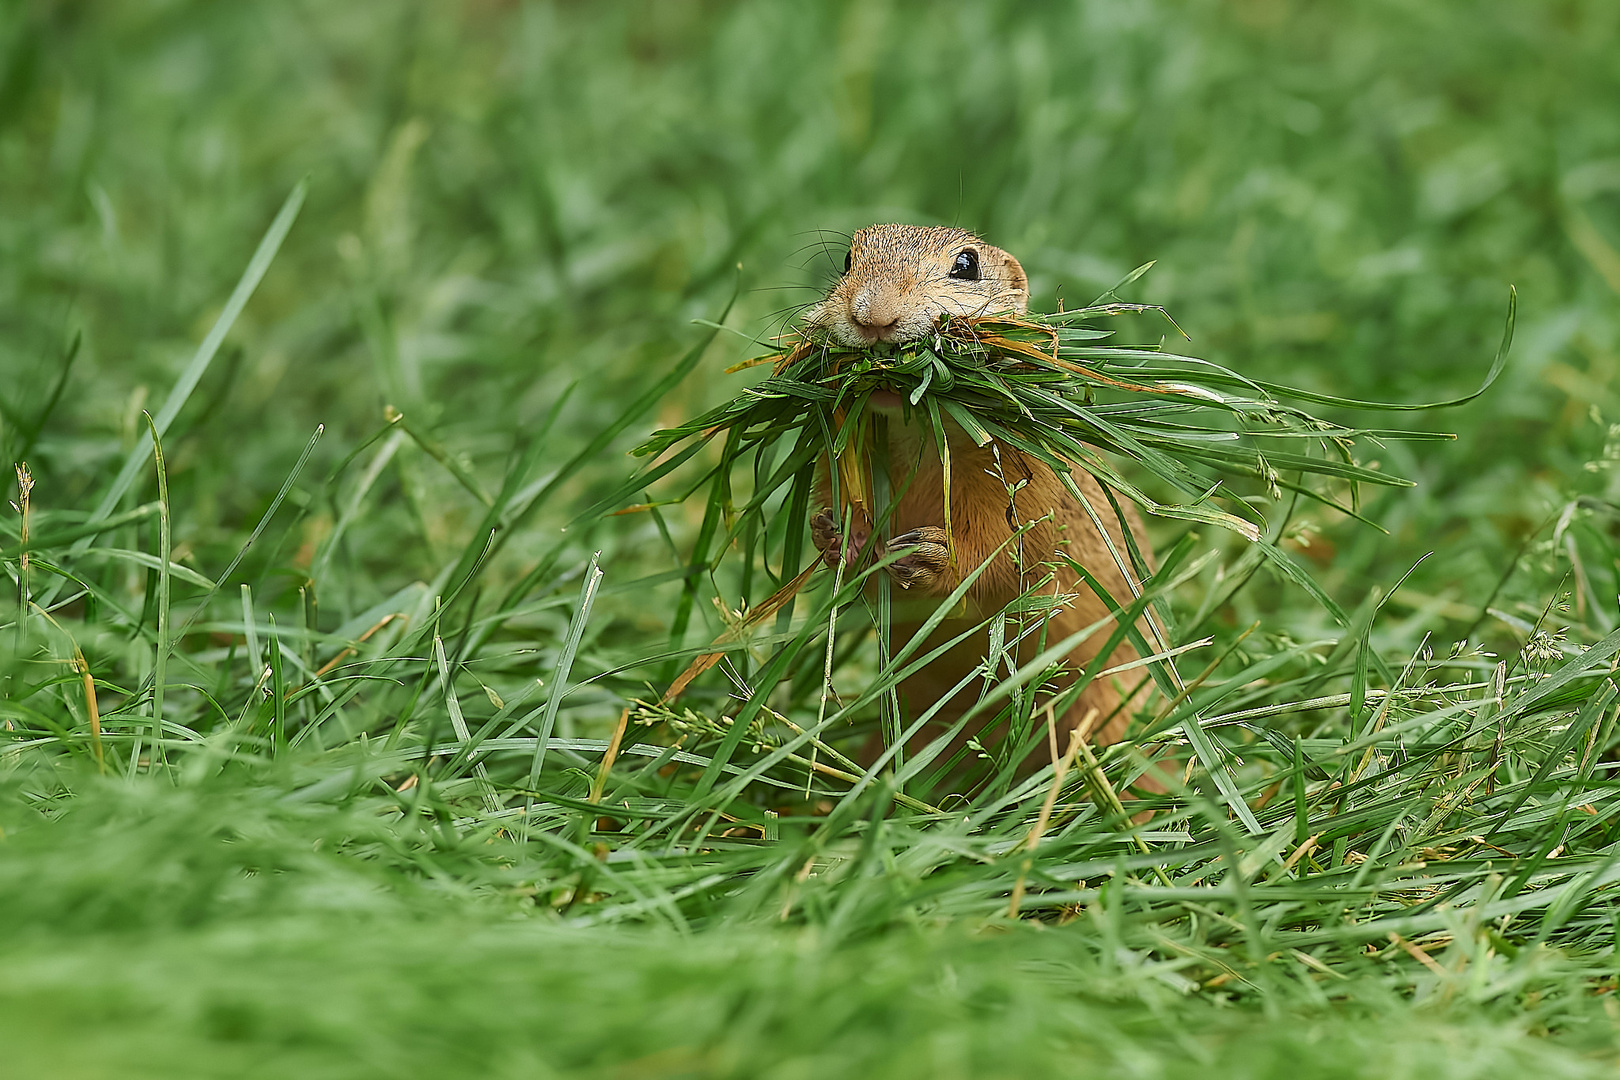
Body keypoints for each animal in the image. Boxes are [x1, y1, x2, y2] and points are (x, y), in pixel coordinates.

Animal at [797, 223, 1153, 773]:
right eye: (848, 261)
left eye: (966, 265)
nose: (872, 315)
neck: (921, 432)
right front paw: (838, 537)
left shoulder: (1031, 490)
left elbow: (1005, 560)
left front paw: (933, 557)